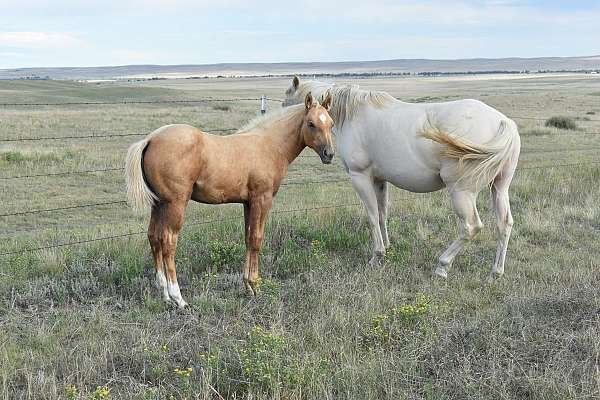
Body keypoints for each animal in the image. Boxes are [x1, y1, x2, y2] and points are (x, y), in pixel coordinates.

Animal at [125, 93, 336, 306]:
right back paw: (178, 298)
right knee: (168, 241)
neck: (269, 145)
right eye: (311, 123)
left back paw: (165, 295)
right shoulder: (262, 199)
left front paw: (248, 286)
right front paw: (256, 285)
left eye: (331, 123)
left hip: (159, 204)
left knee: (154, 237)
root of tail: (150, 140)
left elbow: (248, 238)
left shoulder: (248, 202)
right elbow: (257, 239)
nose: (329, 154)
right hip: (175, 204)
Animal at [282, 77, 520, 282]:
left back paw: (442, 266)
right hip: (499, 188)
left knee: (470, 227)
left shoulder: (360, 177)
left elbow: (371, 216)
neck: (353, 115)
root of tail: (503, 122)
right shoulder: (379, 179)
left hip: (462, 192)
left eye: (288, 100)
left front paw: (376, 256)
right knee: (504, 224)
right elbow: (381, 214)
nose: (327, 154)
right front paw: (387, 248)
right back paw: (494, 274)